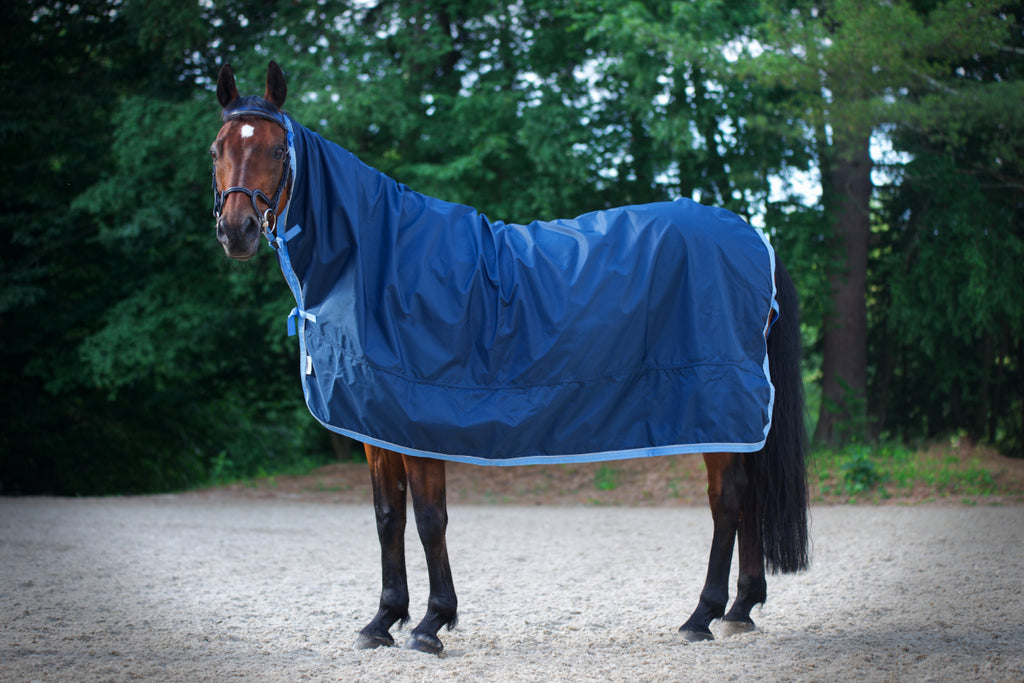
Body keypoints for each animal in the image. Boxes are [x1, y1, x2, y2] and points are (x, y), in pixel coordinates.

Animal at [210, 61, 809, 655]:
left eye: (278, 150)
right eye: (217, 148)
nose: (236, 231)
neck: (374, 261)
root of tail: (754, 235)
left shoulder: (420, 419)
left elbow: (429, 519)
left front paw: (431, 624)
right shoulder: (377, 427)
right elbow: (388, 519)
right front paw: (382, 620)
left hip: (717, 402)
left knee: (726, 501)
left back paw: (701, 615)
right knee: (748, 497)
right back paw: (740, 610)